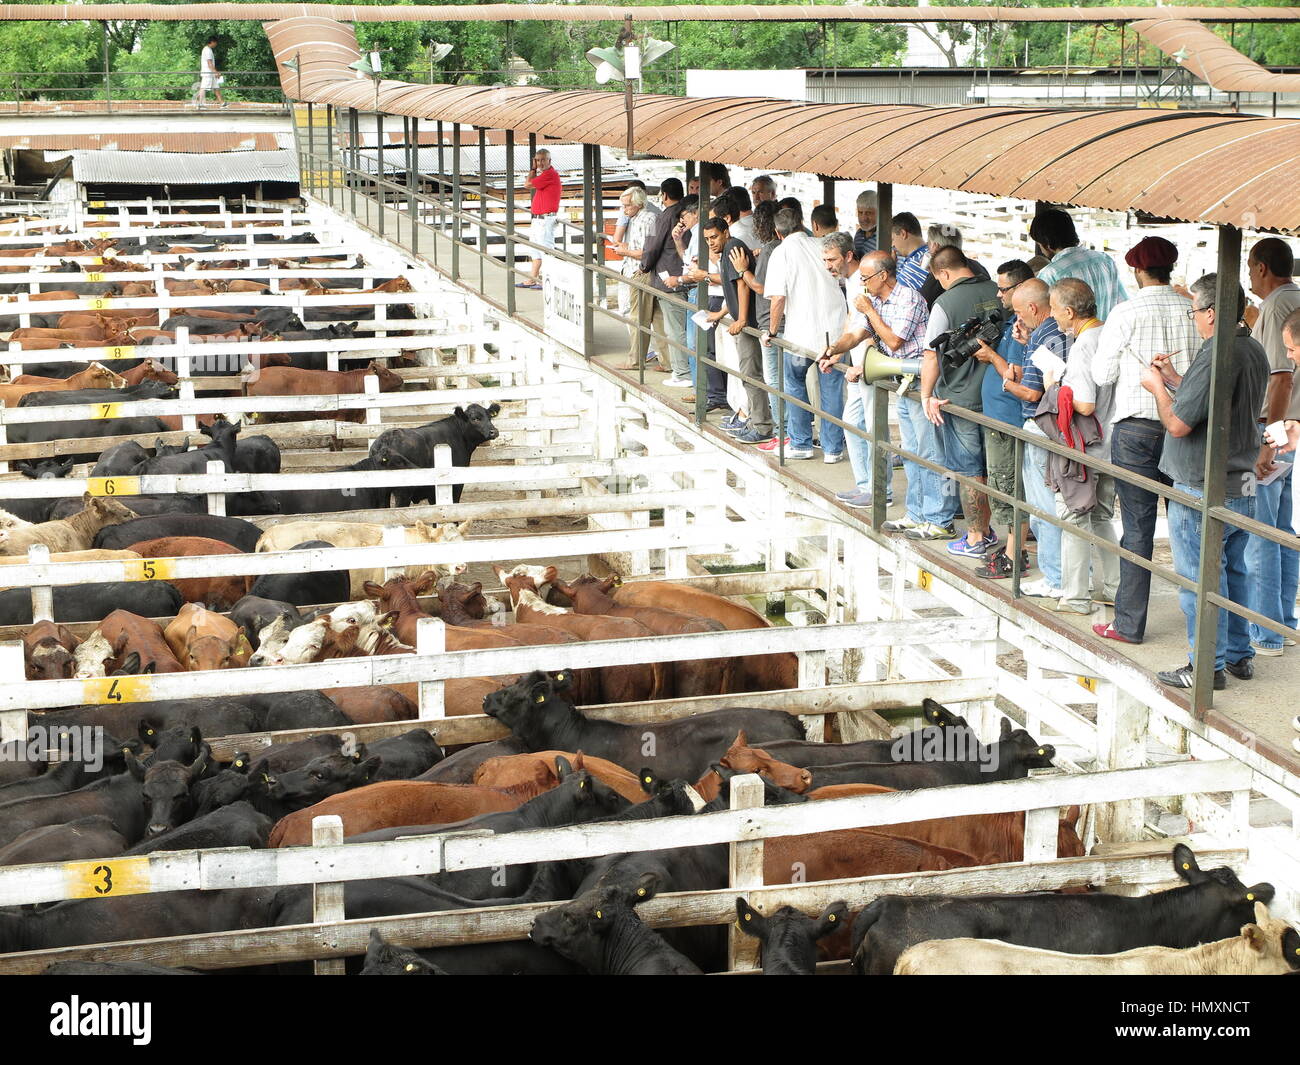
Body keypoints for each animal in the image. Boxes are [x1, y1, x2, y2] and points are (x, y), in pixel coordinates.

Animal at [374, 403, 504, 507]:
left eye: (490, 417)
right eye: (475, 418)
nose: (494, 432)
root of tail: (387, 438)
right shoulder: (456, 486)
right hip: (403, 491)